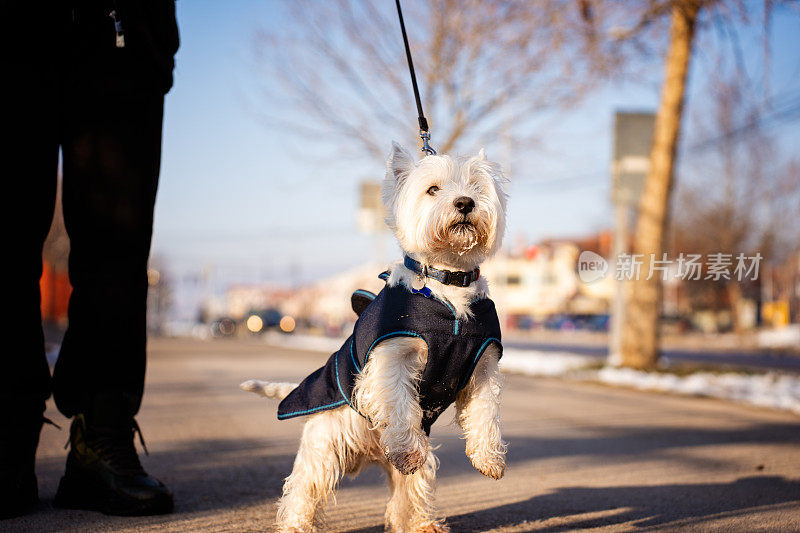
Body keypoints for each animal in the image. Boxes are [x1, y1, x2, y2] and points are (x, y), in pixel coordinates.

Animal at [241, 142, 510, 532]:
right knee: (302, 490)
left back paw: (423, 524)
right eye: (433, 189)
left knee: (408, 492)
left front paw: (490, 459)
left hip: (414, 470)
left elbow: (485, 412)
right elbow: (398, 403)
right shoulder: (392, 357)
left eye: (476, 187)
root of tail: (368, 454)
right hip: (323, 447)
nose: (464, 203)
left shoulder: (482, 366)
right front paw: (406, 448)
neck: (447, 283)